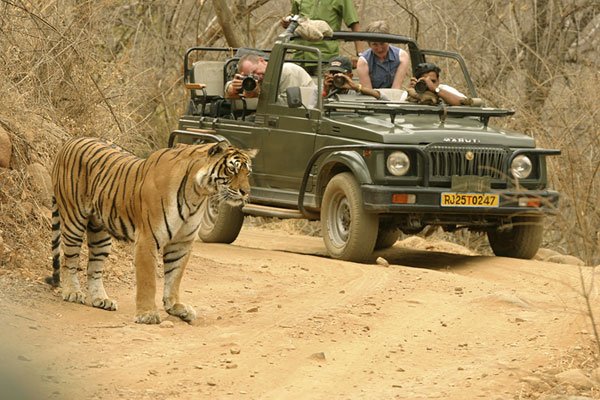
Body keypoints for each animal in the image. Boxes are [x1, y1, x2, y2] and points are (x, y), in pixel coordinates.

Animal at [44, 138, 255, 324]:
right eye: (232, 169)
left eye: (248, 173)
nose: (246, 192)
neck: (197, 193)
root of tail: (69, 142)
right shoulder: (148, 238)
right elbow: (148, 280)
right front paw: (147, 314)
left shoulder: (181, 242)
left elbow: (175, 277)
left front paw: (176, 307)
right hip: (74, 220)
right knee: (69, 259)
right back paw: (72, 292)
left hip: (100, 232)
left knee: (93, 266)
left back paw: (101, 299)